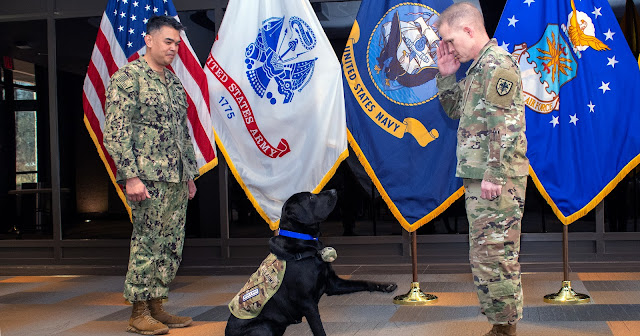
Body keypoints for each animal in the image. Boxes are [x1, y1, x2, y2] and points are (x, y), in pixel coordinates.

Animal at [224, 190, 396, 334]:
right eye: (311, 198)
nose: (334, 190)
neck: (306, 243)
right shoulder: (307, 303)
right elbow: (319, 329)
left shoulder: (333, 283)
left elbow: (362, 282)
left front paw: (384, 285)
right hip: (265, 326)